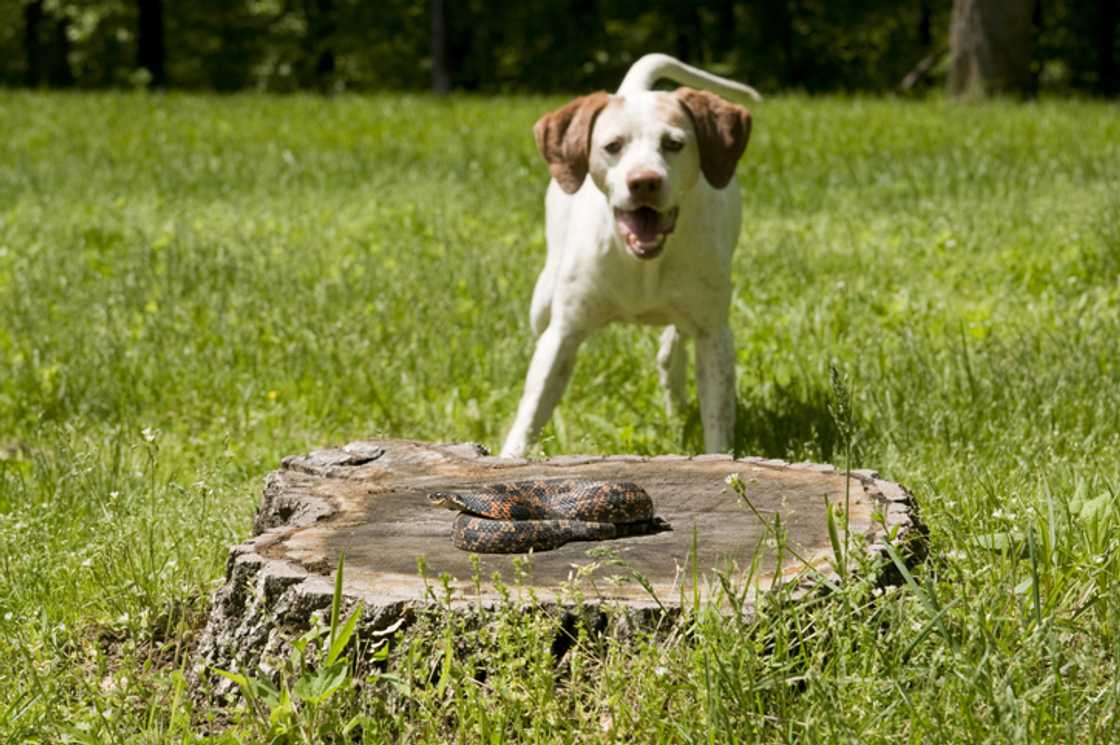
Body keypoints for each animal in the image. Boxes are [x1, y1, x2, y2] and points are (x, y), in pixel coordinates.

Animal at [501, 52, 757, 457]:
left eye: (674, 143)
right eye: (613, 146)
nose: (645, 182)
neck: (643, 262)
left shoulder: (714, 334)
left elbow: (717, 423)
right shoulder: (562, 334)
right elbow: (529, 415)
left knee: (673, 347)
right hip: (542, 299)